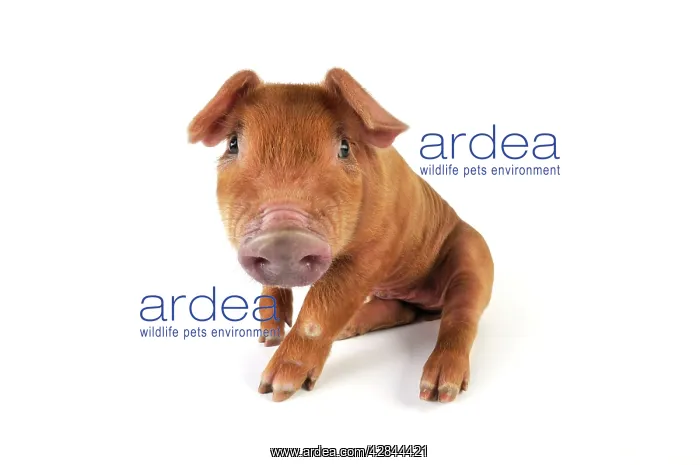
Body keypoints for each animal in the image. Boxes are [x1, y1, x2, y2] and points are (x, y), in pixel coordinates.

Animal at [187, 68, 494, 403]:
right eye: (233, 144)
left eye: (344, 148)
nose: (284, 233)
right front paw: (267, 338)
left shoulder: (373, 251)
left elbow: (320, 310)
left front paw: (274, 390)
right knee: (401, 310)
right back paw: (349, 330)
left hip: (475, 254)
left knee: (461, 313)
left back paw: (436, 391)